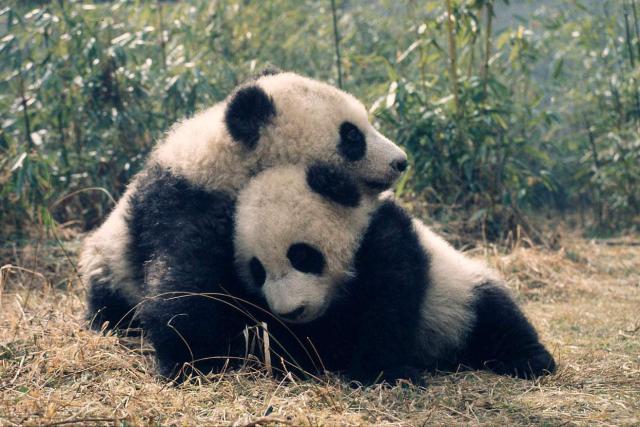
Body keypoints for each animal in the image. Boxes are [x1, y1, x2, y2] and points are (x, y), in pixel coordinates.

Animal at [78, 70, 408, 378]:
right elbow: (181, 280)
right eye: (352, 136)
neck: (229, 160)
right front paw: (192, 358)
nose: (401, 162)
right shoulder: (187, 205)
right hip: (110, 266)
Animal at [233, 163, 557, 385]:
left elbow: (389, 303)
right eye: (258, 271)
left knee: (497, 317)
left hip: (462, 294)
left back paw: (529, 360)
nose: (292, 311)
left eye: (302, 256)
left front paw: (383, 375)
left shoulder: (386, 238)